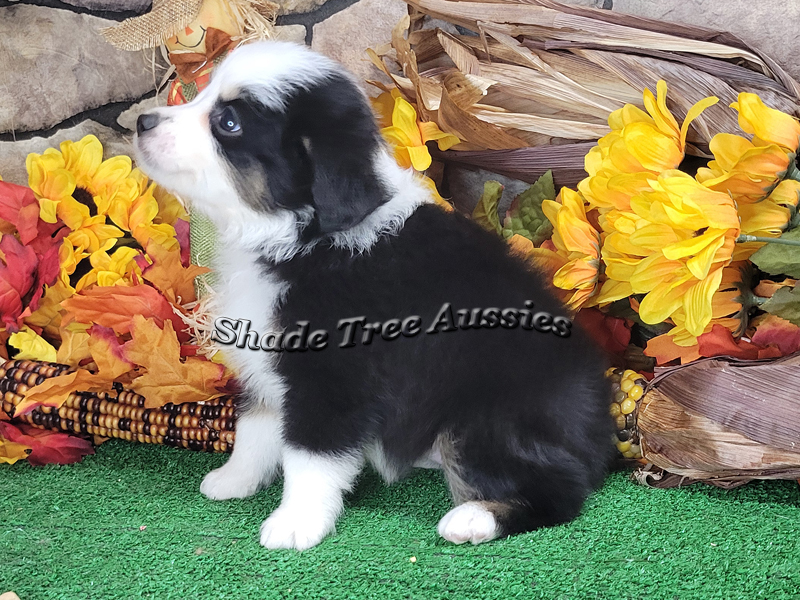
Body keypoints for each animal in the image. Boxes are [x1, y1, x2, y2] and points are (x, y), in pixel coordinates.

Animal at [136, 41, 612, 548]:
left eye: (229, 123)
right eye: (203, 94)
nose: (142, 121)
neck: (304, 238)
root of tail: (600, 432)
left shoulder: (334, 377)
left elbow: (309, 455)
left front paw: (295, 522)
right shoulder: (266, 363)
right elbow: (255, 426)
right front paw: (234, 479)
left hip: (485, 417)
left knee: (561, 488)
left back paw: (473, 518)